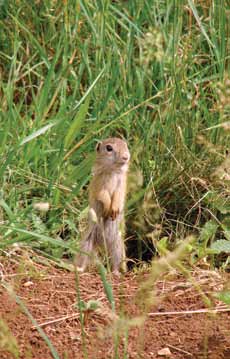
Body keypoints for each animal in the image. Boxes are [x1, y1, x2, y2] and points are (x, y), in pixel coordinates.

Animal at [75, 139, 129, 276]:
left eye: (126, 145)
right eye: (109, 148)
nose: (126, 157)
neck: (113, 170)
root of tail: (102, 244)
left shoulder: (121, 185)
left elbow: (118, 196)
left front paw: (114, 210)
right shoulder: (100, 184)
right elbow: (103, 195)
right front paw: (108, 208)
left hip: (117, 245)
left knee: (115, 261)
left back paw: (115, 273)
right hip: (86, 242)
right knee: (83, 258)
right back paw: (79, 269)